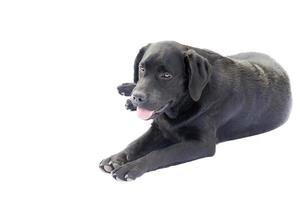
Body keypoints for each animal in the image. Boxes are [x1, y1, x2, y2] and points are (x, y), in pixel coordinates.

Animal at [99, 41, 292, 181]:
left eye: (166, 76)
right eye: (142, 68)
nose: (137, 97)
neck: (183, 104)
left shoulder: (201, 143)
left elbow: (161, 153)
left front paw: (131, 167)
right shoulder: (158, 128)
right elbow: (136, 143)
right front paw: (115, 159)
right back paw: (128, 91)